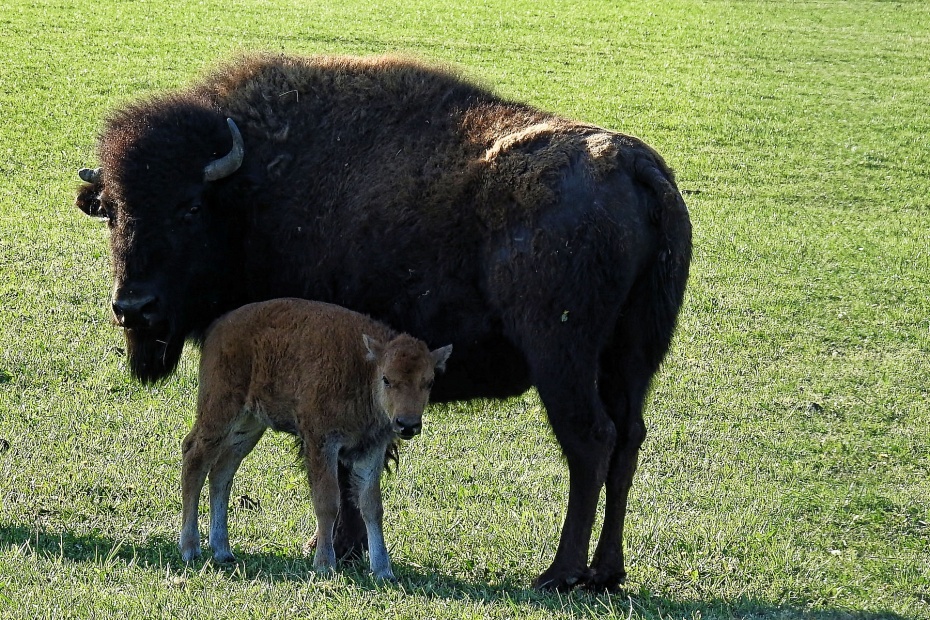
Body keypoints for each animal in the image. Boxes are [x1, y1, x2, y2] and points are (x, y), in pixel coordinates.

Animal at [179, 298, 454, 580]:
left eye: (429, 381)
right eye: (387, 379)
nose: (407, 424)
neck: (364, 369)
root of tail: (218, 328)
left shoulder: (372, 449)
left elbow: (372, 506)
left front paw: (382, 570)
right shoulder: (322, 442)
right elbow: (328, 501)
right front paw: (324, 564)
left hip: (249, 426)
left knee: (222, 472)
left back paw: (223, 550)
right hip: (220, 411)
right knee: (194, 457)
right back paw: (190, 548)